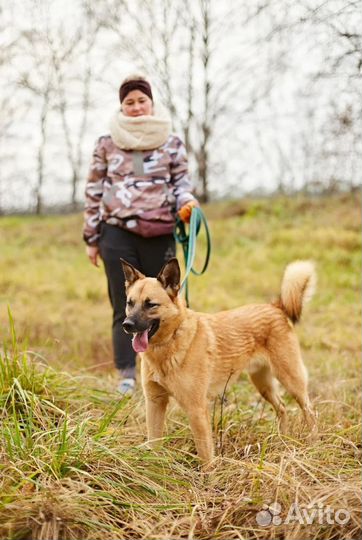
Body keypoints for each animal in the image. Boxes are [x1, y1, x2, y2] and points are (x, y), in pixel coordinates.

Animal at [121, 258, 316, 464]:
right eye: (130, 303)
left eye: (151, 304)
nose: (127, 325)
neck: (169, 343)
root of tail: (276, 307)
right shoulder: (155, 402)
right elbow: (154, 442)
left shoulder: (196, 410)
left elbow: (206, 455)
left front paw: (209, 473)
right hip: (263, 384)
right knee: (283, 408)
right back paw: (283, 440)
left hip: (291, 380)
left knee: (310, 412)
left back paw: (313, 444)